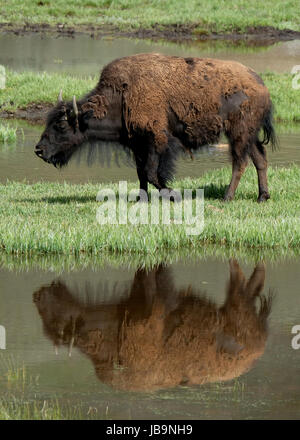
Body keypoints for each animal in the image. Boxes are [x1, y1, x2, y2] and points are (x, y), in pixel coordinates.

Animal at [32, 260, 272, 390]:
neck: (115, 340)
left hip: (238, 302)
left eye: (58, 326)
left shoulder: (153, 294)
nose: (37, 296)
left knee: (243, 280)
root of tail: (260, 347)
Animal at [34, 52, 276, 201]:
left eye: (61, 125)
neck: (122, 96)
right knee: (260, 158)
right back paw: (262, 196)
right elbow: (141, 173)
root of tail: (260, 84)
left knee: (240, 162)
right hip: (249, 134)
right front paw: (141, 199)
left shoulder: (156, 140)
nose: (39, 150)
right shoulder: (137, 145)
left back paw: (227, 197)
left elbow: (152, 173)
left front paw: (174, 195)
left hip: (238, 132)